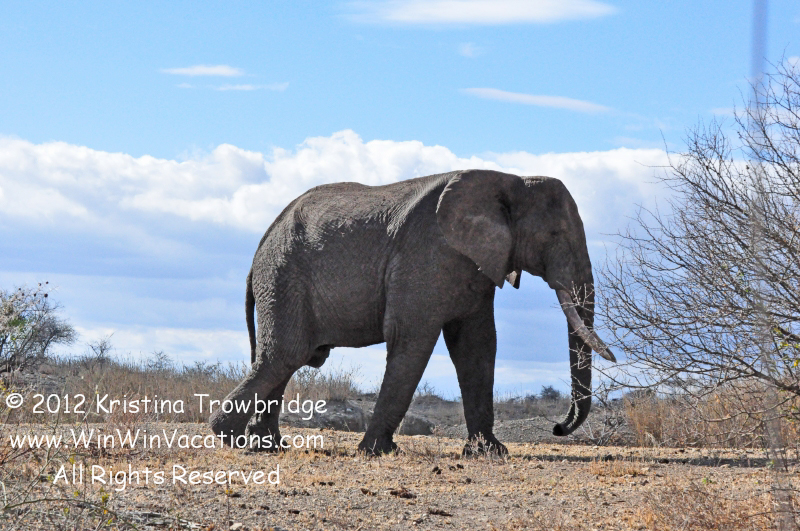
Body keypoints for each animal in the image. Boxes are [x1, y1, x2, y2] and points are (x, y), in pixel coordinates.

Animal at [209, 169, 615, 455]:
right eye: (554, 235)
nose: (558, 428)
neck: (511, 178)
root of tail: (259, 247)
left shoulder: (475, 263)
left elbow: (477, 347)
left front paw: (490, 453)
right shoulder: (427, 254)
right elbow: (413, 339)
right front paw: (377, 452)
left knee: (283, 361)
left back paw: (268, 446)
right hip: (283, 278)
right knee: (284, 355)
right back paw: (230, 438)